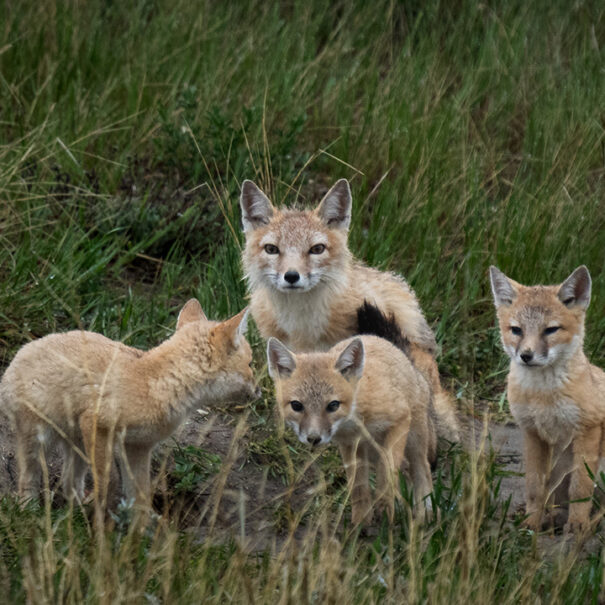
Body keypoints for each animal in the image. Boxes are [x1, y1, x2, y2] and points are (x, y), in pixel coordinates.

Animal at [0, 300, 258, 504]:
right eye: (251, 364)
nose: (260, 390)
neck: (158, 383)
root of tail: (17, 356)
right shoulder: (97, 424)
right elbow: (109, 483)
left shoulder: (138, 447)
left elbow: (139, 499)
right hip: (39, 441)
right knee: (28, 481)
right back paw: (31, 511)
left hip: (78, 446)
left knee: (68, 483)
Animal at [266, 302, 434, 524]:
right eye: (296, 406)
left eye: (333, 405)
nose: (313, 438)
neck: (356, 419)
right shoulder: (349, 446)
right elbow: (358, 487)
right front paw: (361, 521)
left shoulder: (399, 420)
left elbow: (387, 471)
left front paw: (385, 505)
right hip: (371, 452)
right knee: (404, 469)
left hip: (413, 439)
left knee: (422, 469)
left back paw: (425, 512)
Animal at [488, 266, 604, 532]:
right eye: (516, 330)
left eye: (550, 330)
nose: (526, 355)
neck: (543, 396)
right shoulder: (532, 432)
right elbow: (534, 486)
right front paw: (532, 520)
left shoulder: (588, 429)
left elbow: (580, 487)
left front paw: (578, 523)